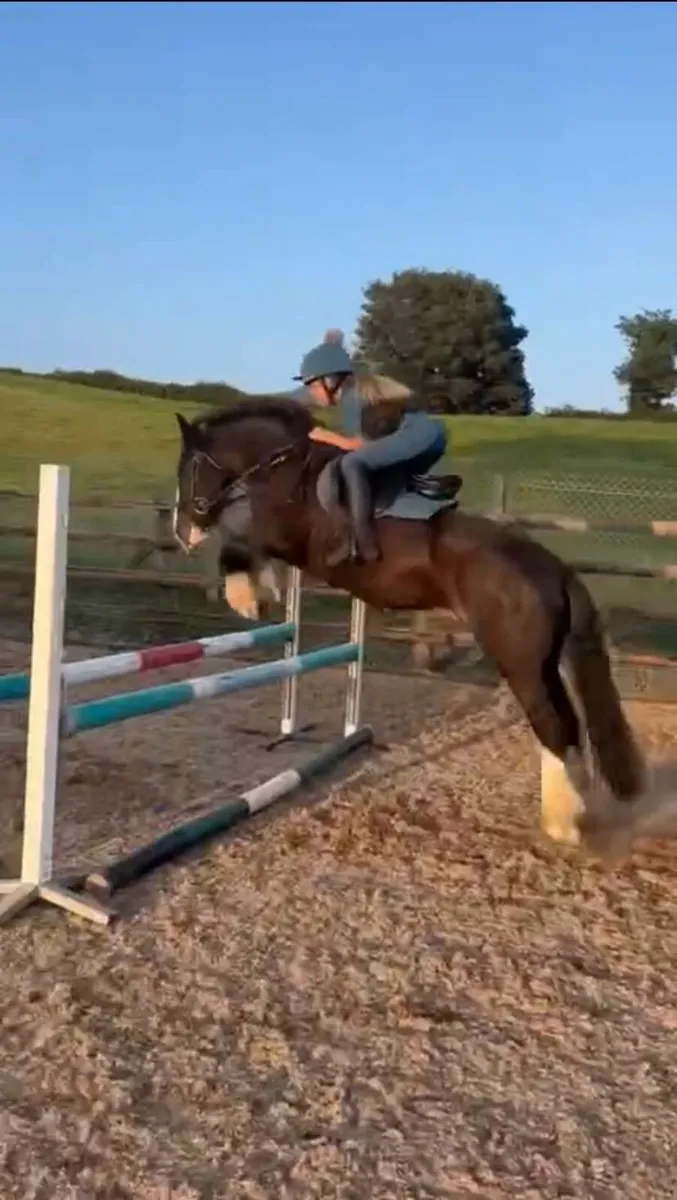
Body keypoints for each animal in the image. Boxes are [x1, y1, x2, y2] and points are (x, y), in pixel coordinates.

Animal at [172, 396, 649, 857]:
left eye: (191, 468)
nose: (182, 534)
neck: (289, 469)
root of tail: (554, 570)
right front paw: (259, 592)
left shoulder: (289, 540)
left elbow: (237, 544)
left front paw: (248, 597)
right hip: (544, 664)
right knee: (568, 725)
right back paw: (576, 811)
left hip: (521, 664)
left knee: (552, 725)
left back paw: (561, 824)